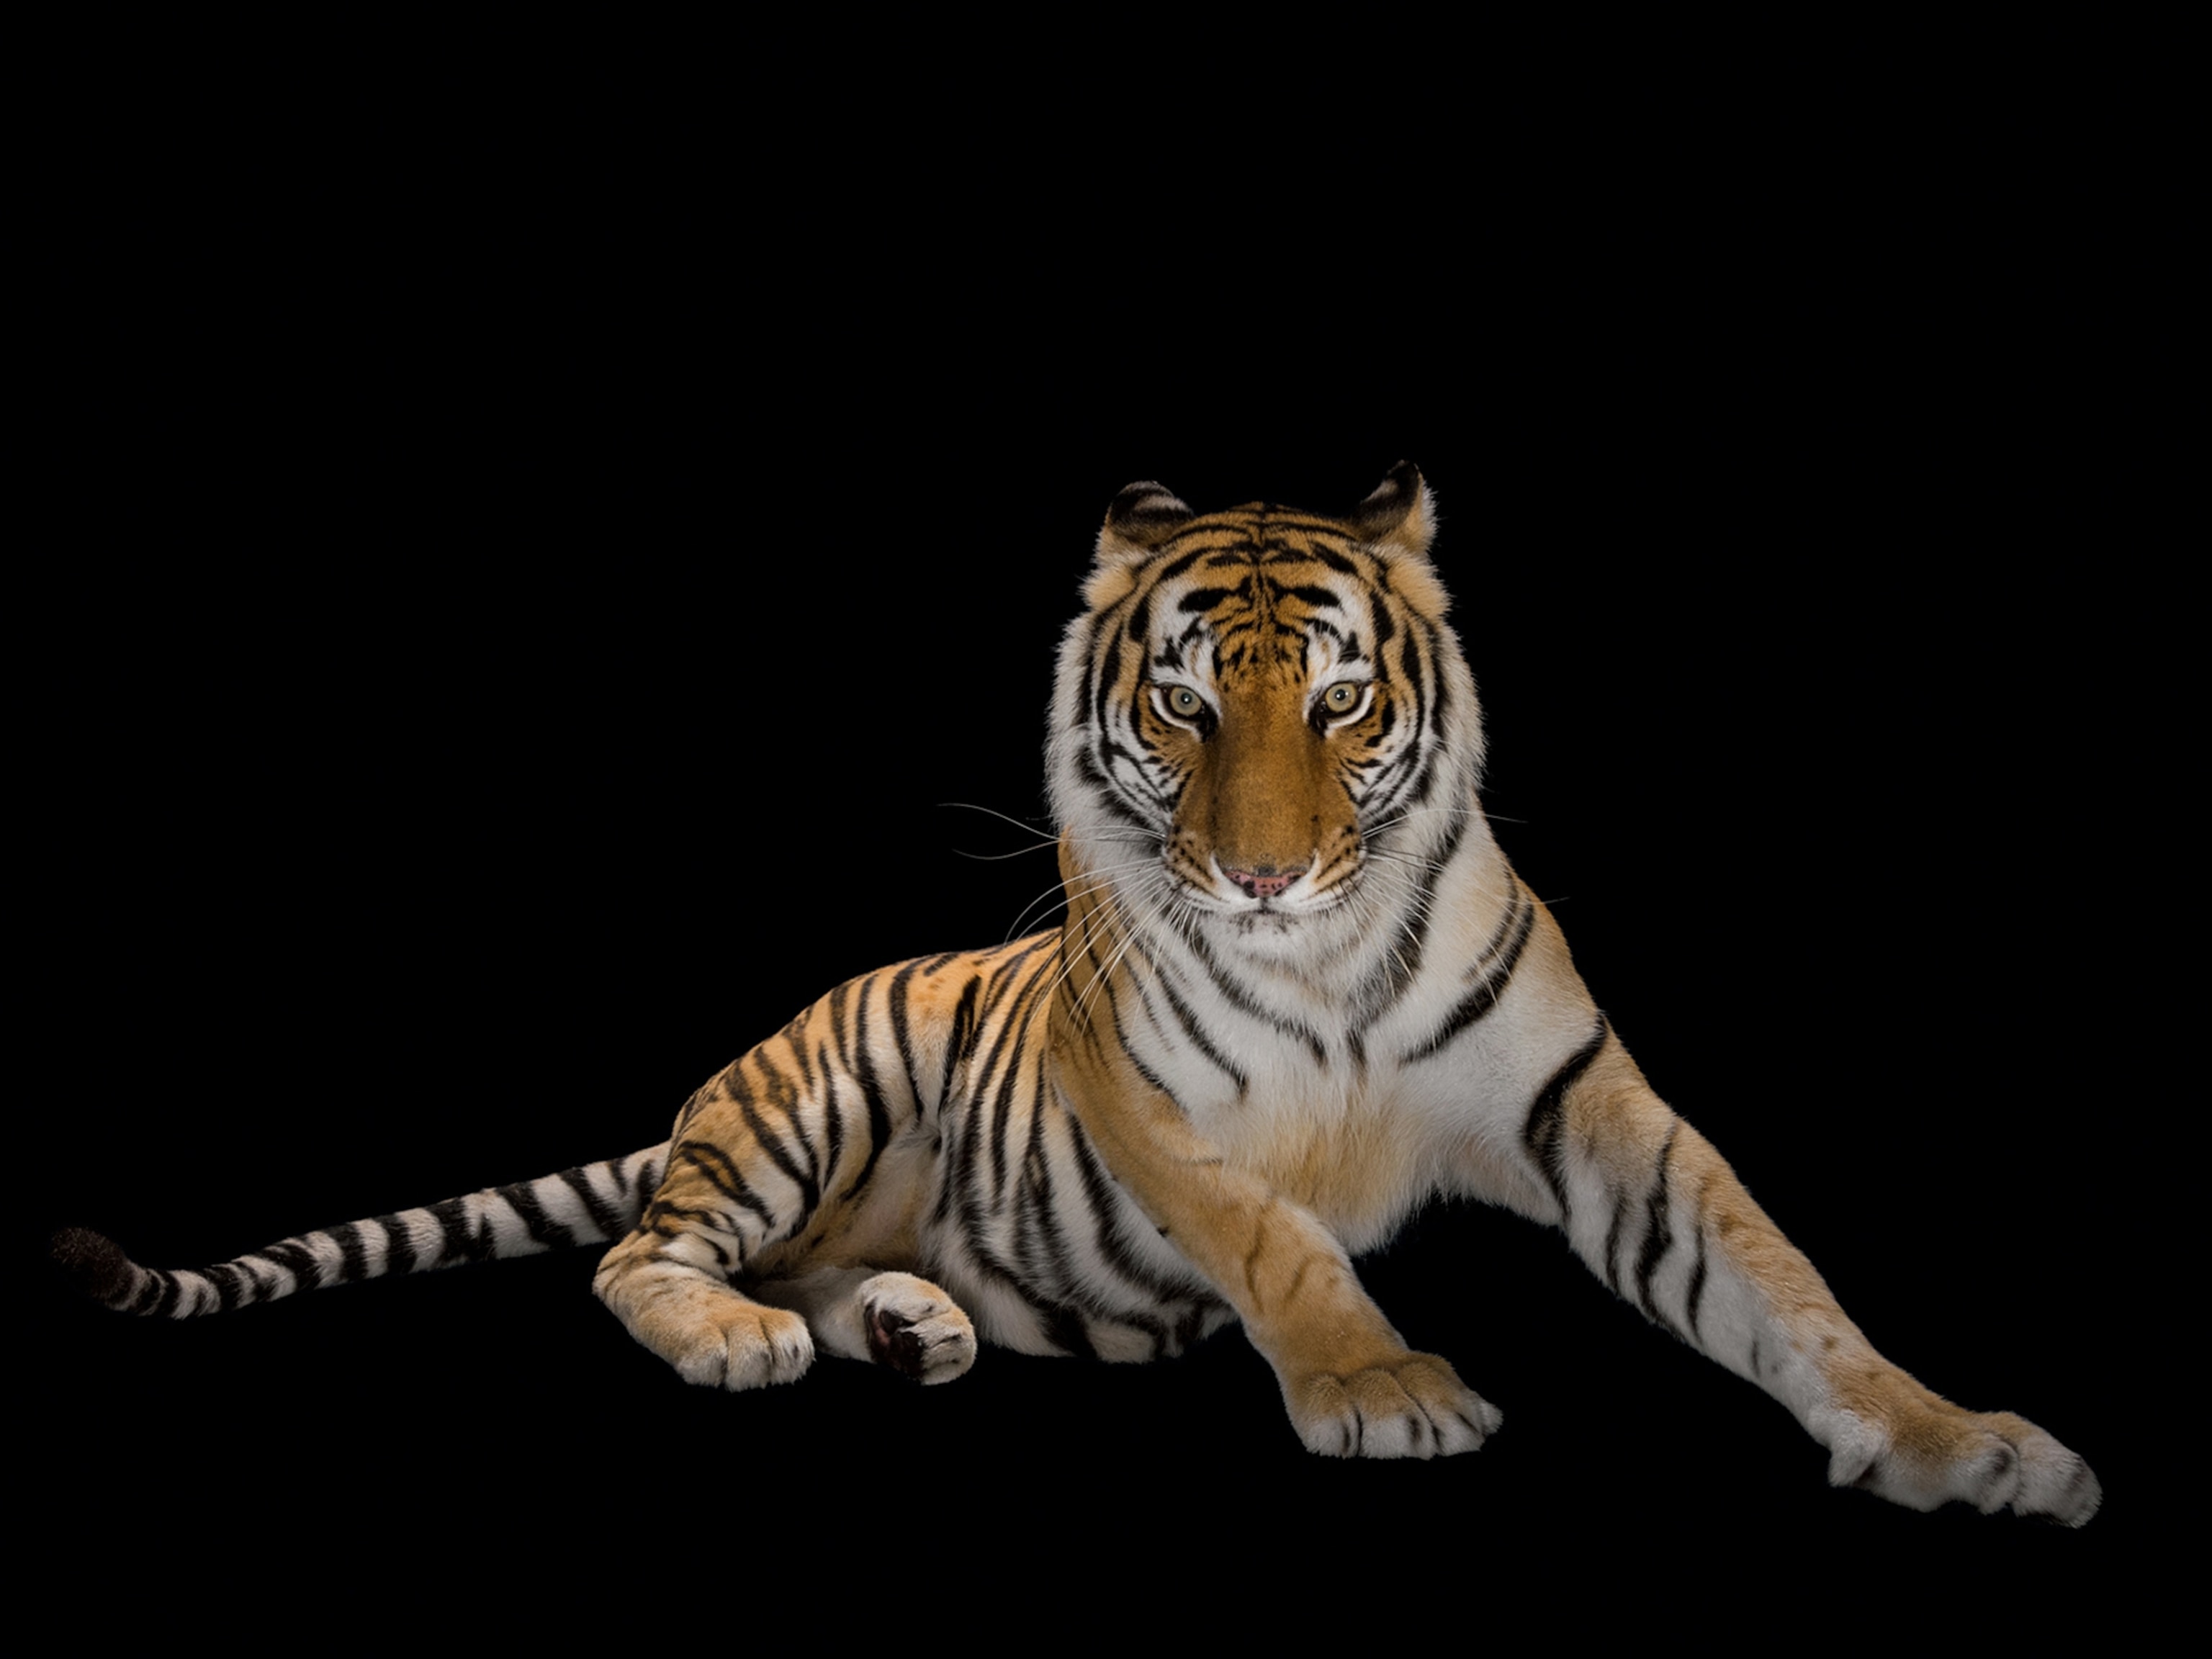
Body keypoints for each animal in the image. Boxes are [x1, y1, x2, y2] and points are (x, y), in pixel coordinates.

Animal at [53, 463, 2100, 1523]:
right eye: (1185, 706)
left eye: (1339, 703)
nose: (1261, 873)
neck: (1315, 954)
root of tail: (722, 1071)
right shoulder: (1158, 1109)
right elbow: (1283, 1243)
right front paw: (1381, 1387)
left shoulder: (1581, 1096)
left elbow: (1772, 1278)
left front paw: (1961, 1443)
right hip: (816, 1103)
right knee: (640, 1253)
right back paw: (740, 1337)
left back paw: (910, 1325)